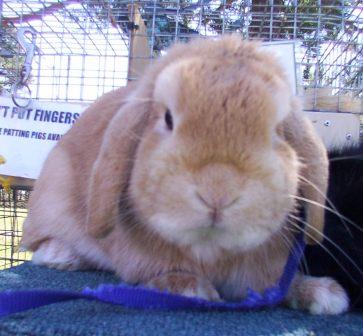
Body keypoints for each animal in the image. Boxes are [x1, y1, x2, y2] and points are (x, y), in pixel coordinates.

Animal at [22, 36, 350, 316]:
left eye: (277, 130)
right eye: (168, 118)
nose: (218, 193)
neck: (209, 250)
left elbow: (274, 284)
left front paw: (323, 293)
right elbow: (157, 273)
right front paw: (190, 288)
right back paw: (60, 254)